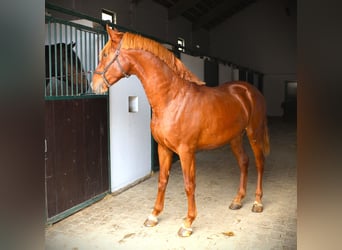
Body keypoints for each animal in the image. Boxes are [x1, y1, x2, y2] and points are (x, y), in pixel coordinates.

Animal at [91, 26, 270, 237]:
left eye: (105, 54)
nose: (94, 84)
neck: (172, 99)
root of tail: (250, 90)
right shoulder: (163, 148)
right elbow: (162, 180)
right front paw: (153, 215)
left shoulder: (186, 151)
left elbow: (188, 184)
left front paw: (188, 223)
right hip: (235, 138)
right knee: (244, 162)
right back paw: (237, 200)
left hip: (254, 133)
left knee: (259, 163)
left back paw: (257, 202)